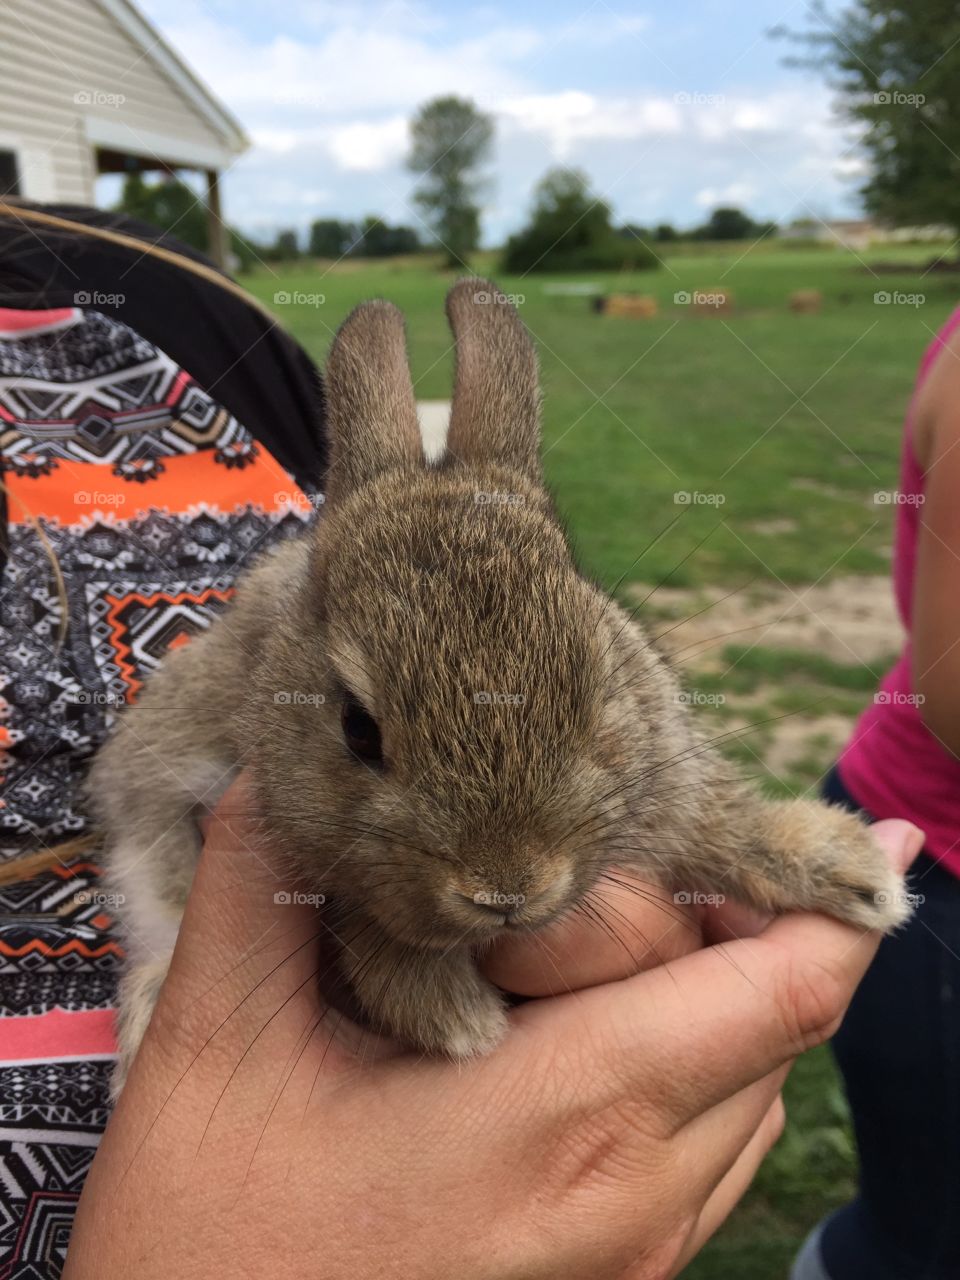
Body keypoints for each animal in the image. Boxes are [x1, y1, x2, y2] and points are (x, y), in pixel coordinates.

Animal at [92, 275, 916, 1085]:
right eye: (358, 730)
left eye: (597, 690)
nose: (506, 888)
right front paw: (455, 1018)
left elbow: (718, 823)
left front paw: (857, 873)